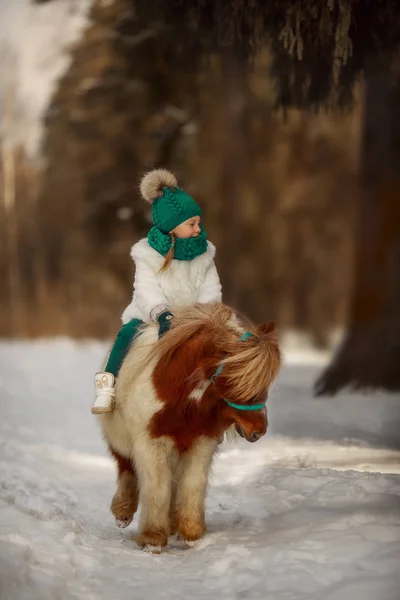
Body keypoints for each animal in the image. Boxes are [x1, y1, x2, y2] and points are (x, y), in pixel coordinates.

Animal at [99, 304, 282, 552]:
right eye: (231, 378)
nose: (258, 430)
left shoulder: (201, 442)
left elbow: (192, 484)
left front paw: (191, 532)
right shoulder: (150, 442)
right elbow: (157, 487)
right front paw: (153, 538)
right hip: (122, 442)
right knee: (126, 467)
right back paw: (123, 512)